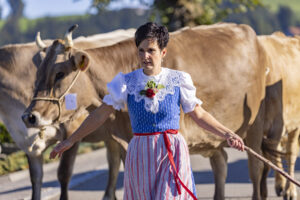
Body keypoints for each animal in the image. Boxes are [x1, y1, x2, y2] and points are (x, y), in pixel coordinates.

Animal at [0, 28, 134, 200]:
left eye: (60, 74)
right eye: (37, 74)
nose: (28, 117)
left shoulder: (72, 131)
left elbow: (63, 174)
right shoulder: (28, 144)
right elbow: (35, 179)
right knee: (114, 159)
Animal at [256, 32, 300, 200]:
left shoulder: (276, 126)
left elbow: (269, 160)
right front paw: (262, 191)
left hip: (294, 124)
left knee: (290, 153)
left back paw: (289, 190)